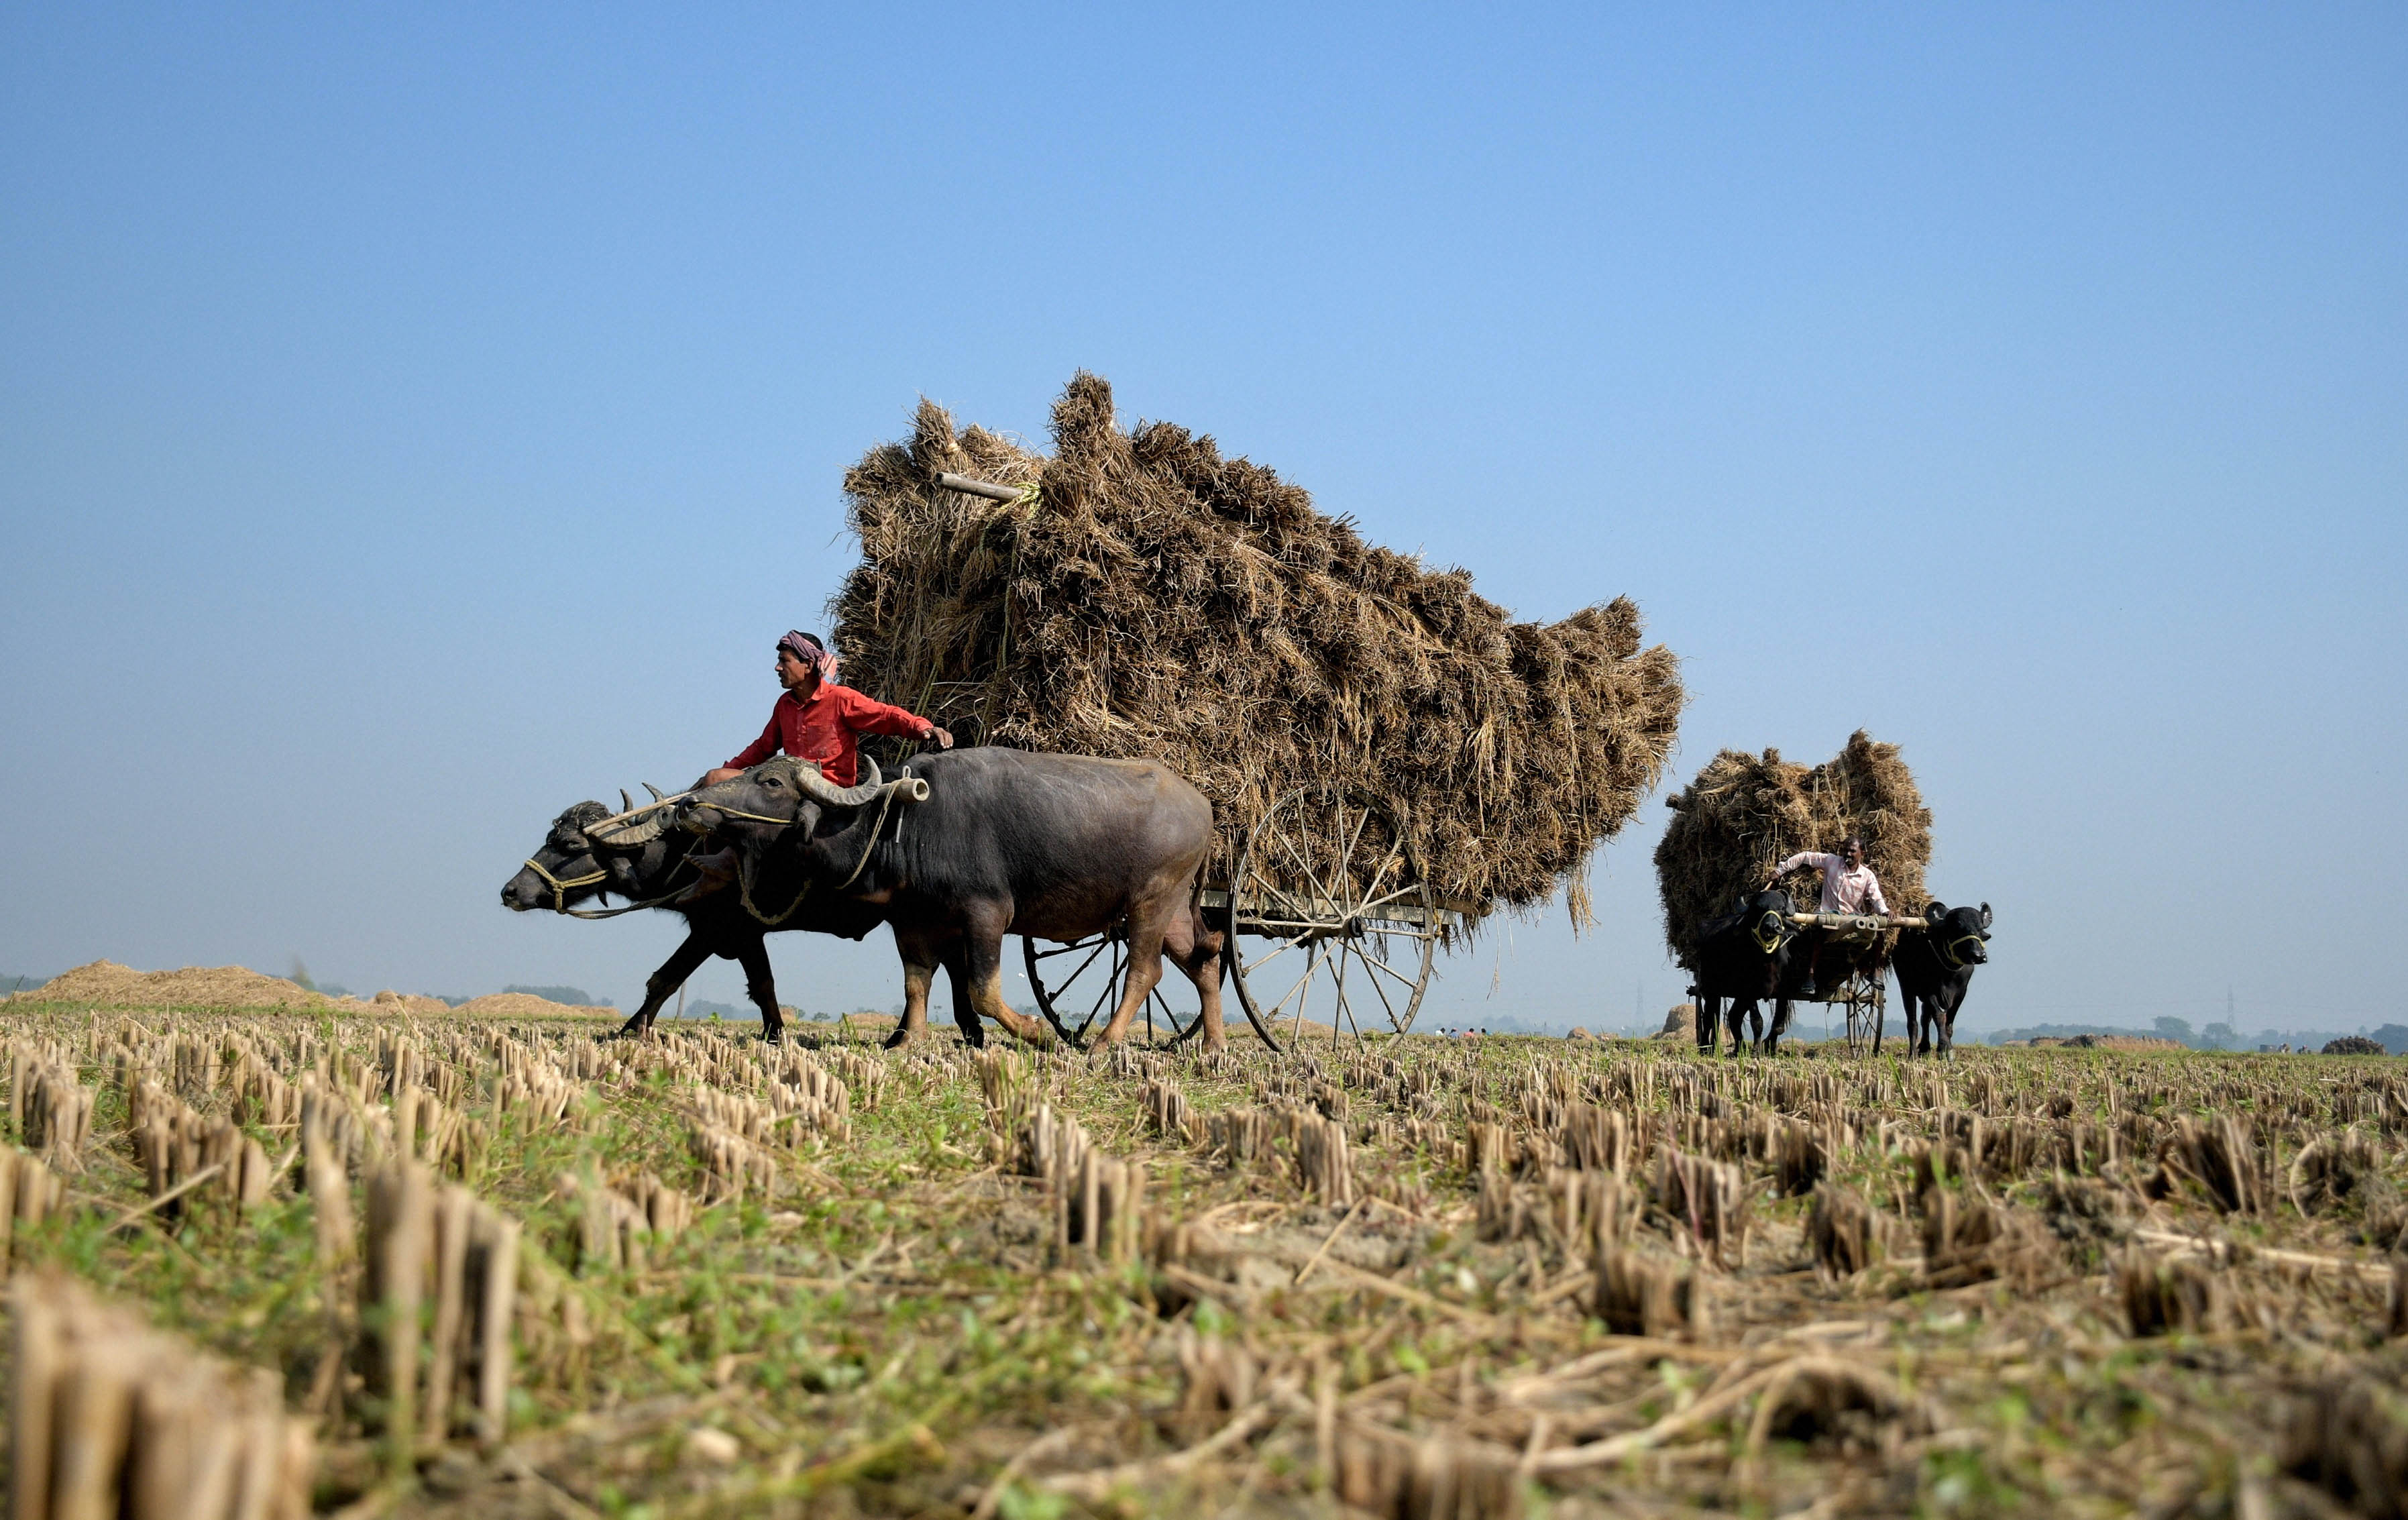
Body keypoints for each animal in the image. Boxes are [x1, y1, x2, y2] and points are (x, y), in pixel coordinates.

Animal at [498, 795, 886, 1045]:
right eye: (550, 838)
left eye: (572, 846)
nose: (511, 892)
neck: (685, 856)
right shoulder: (735, 936)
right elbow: (757, 986)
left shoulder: (719, 931)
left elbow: (670, 980)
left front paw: (629, 1032)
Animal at [688, 751, 1233, 1060]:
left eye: (771, 783)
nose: (690, 804)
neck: (902, 824)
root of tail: (1203, 806)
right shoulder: (912, 922)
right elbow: (916, 986)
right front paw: (905, 1043)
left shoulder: (986, 915)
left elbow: (982, 990)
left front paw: (1038, 1034)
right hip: (1173, 908)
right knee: (1205, 961)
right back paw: (1213, 1045)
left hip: (1150, 903)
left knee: (1144, 970)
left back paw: (1101, 1045)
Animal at [1686, 891, 1801, 1060]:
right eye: (1758, 908)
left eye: (1781, 908)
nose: (1772, 927)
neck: (1768, 959)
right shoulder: (1749, 991)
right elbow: (1757, 1022)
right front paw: (1756, 1051)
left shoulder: (1784, 991)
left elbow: (1778, 1025)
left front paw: (1771, 1048)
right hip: (1710, 989)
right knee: (1709, 1018)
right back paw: (1706, 1048)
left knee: (1733, 1017)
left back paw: (1737, 1049)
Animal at [1887, 906, 2003, 1060]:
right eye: (1958, 928)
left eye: (1979, 928)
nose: (1979, 955)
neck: (1948, 971)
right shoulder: (1928, 990)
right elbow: (1940, 1017)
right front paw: (1944, 1048)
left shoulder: (1961, 993)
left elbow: (1949, 1022)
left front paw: (1947, 1050)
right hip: (1906, 987)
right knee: (1913, 1022)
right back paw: (1913, 1054)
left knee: (1924, 1019)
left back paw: (1924, 1048)